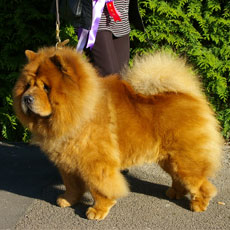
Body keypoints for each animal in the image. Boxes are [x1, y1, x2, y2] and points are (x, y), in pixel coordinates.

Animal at [12, 46, 223, 219]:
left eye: (46, 88)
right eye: (27, 85)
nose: (27, 98)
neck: (78, 111)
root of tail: (190, 96)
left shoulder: (95, 163)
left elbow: (99, 188)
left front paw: (97, 211)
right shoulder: (67, 161)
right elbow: (71, 184)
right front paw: (67, 200)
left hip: (184, 159)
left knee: (201, 183)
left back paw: (198, 204)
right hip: (168, 158)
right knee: (179, 177)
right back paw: (174, 193)